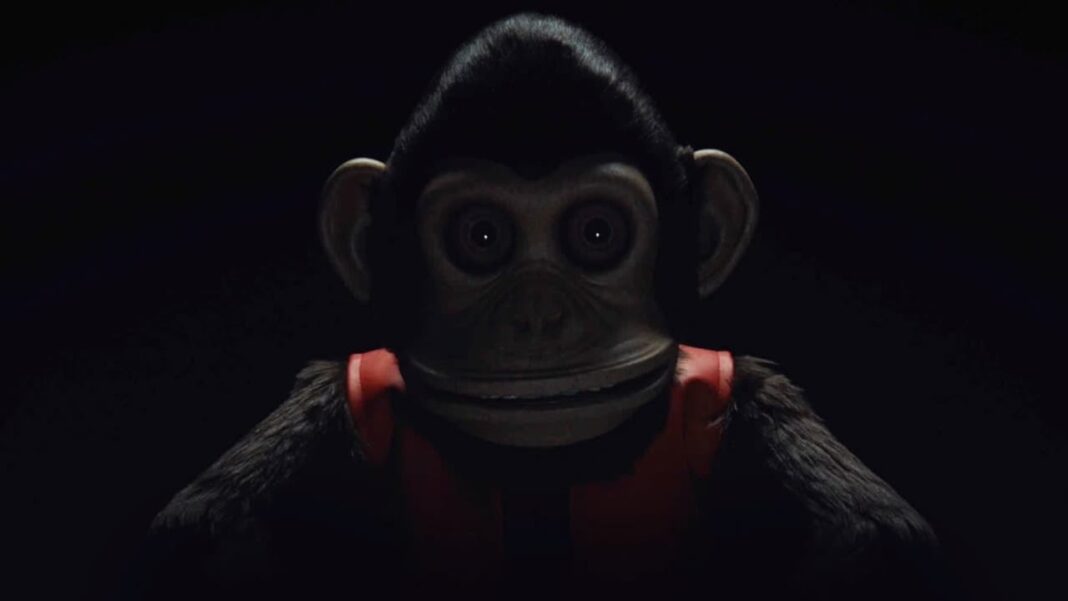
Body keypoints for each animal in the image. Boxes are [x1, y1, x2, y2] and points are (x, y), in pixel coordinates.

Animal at [131, 13, 952, 601]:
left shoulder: (737, 385)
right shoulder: (348, 390)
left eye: (597, 232)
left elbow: (881, 537)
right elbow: (200, 528)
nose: (536, 318)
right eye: (481, 236)